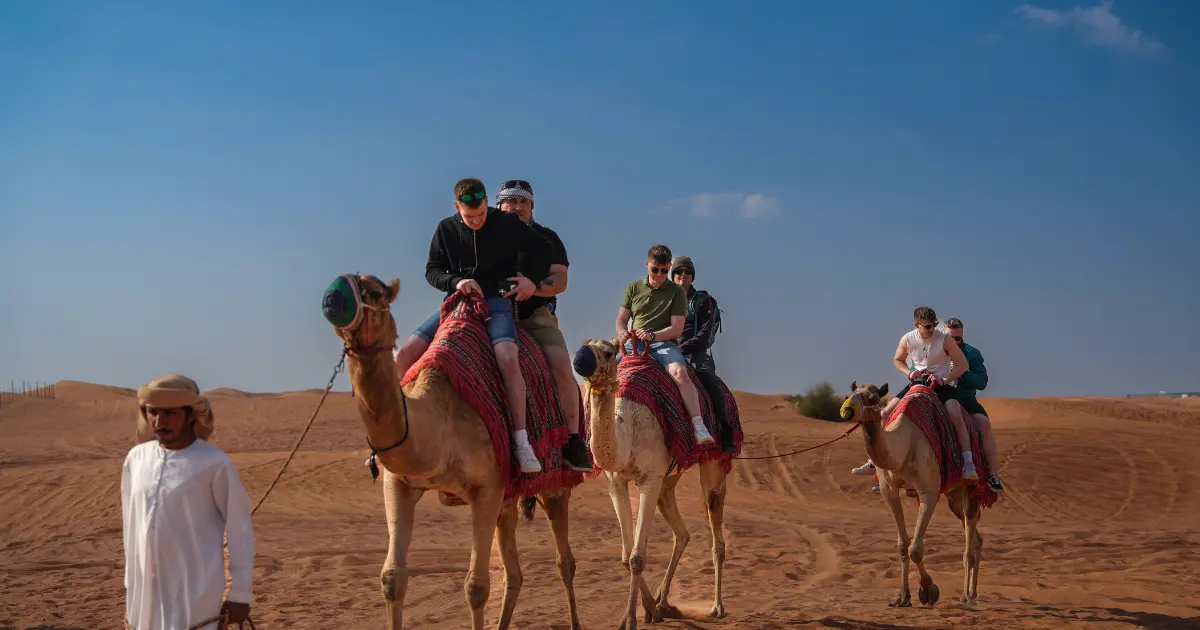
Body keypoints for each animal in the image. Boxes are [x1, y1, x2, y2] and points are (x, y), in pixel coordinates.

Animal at [321, 273, 582, 630]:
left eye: (374, 292)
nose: (331, 299)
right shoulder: (399, 483)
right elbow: (392, 578)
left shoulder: (486, 488)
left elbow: (476, 587)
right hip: (509, 498)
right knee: (514, 574)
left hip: (553, 483)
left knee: (564, 560)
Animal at [574, 337, 737, 630]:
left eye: (608, 353)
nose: (580, 360)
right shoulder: (616, 482)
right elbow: (627, 556)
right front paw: (647, 611)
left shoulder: (649, 479)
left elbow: (637, 557)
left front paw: (630, 620)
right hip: (669, 477)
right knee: (681, 532)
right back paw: (663, 601)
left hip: (714, 461)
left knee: (715, 525)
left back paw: (717, 606)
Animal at [839, 381, 988, 609]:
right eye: (850, 393)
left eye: (874, 397)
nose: (847, 410)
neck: (904, 444)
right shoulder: (889, 491)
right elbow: (903, 546)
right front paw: (902, 597)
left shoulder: (929, 490)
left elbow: (915, 549)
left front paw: (928, 590)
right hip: (953, 495)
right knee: (975, 536)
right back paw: (972, 592)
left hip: (971, 485)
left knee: (969, 536)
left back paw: (966, 597)